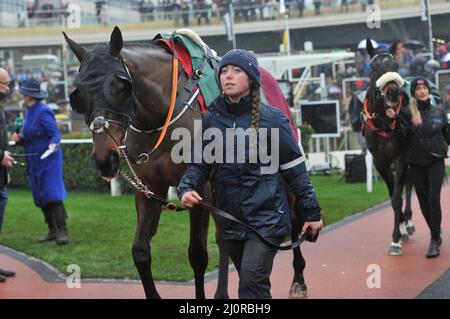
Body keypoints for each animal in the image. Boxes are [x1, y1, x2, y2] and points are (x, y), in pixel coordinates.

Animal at [63, 27, 310, 300]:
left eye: (122, 86)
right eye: (78, 94)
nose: (105, 159)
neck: (162, 114)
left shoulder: (200, 188)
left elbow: (198, 255)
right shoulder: (150, 188)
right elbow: (140, 251)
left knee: (293, 215)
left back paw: (298, 279)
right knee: (227, 236)